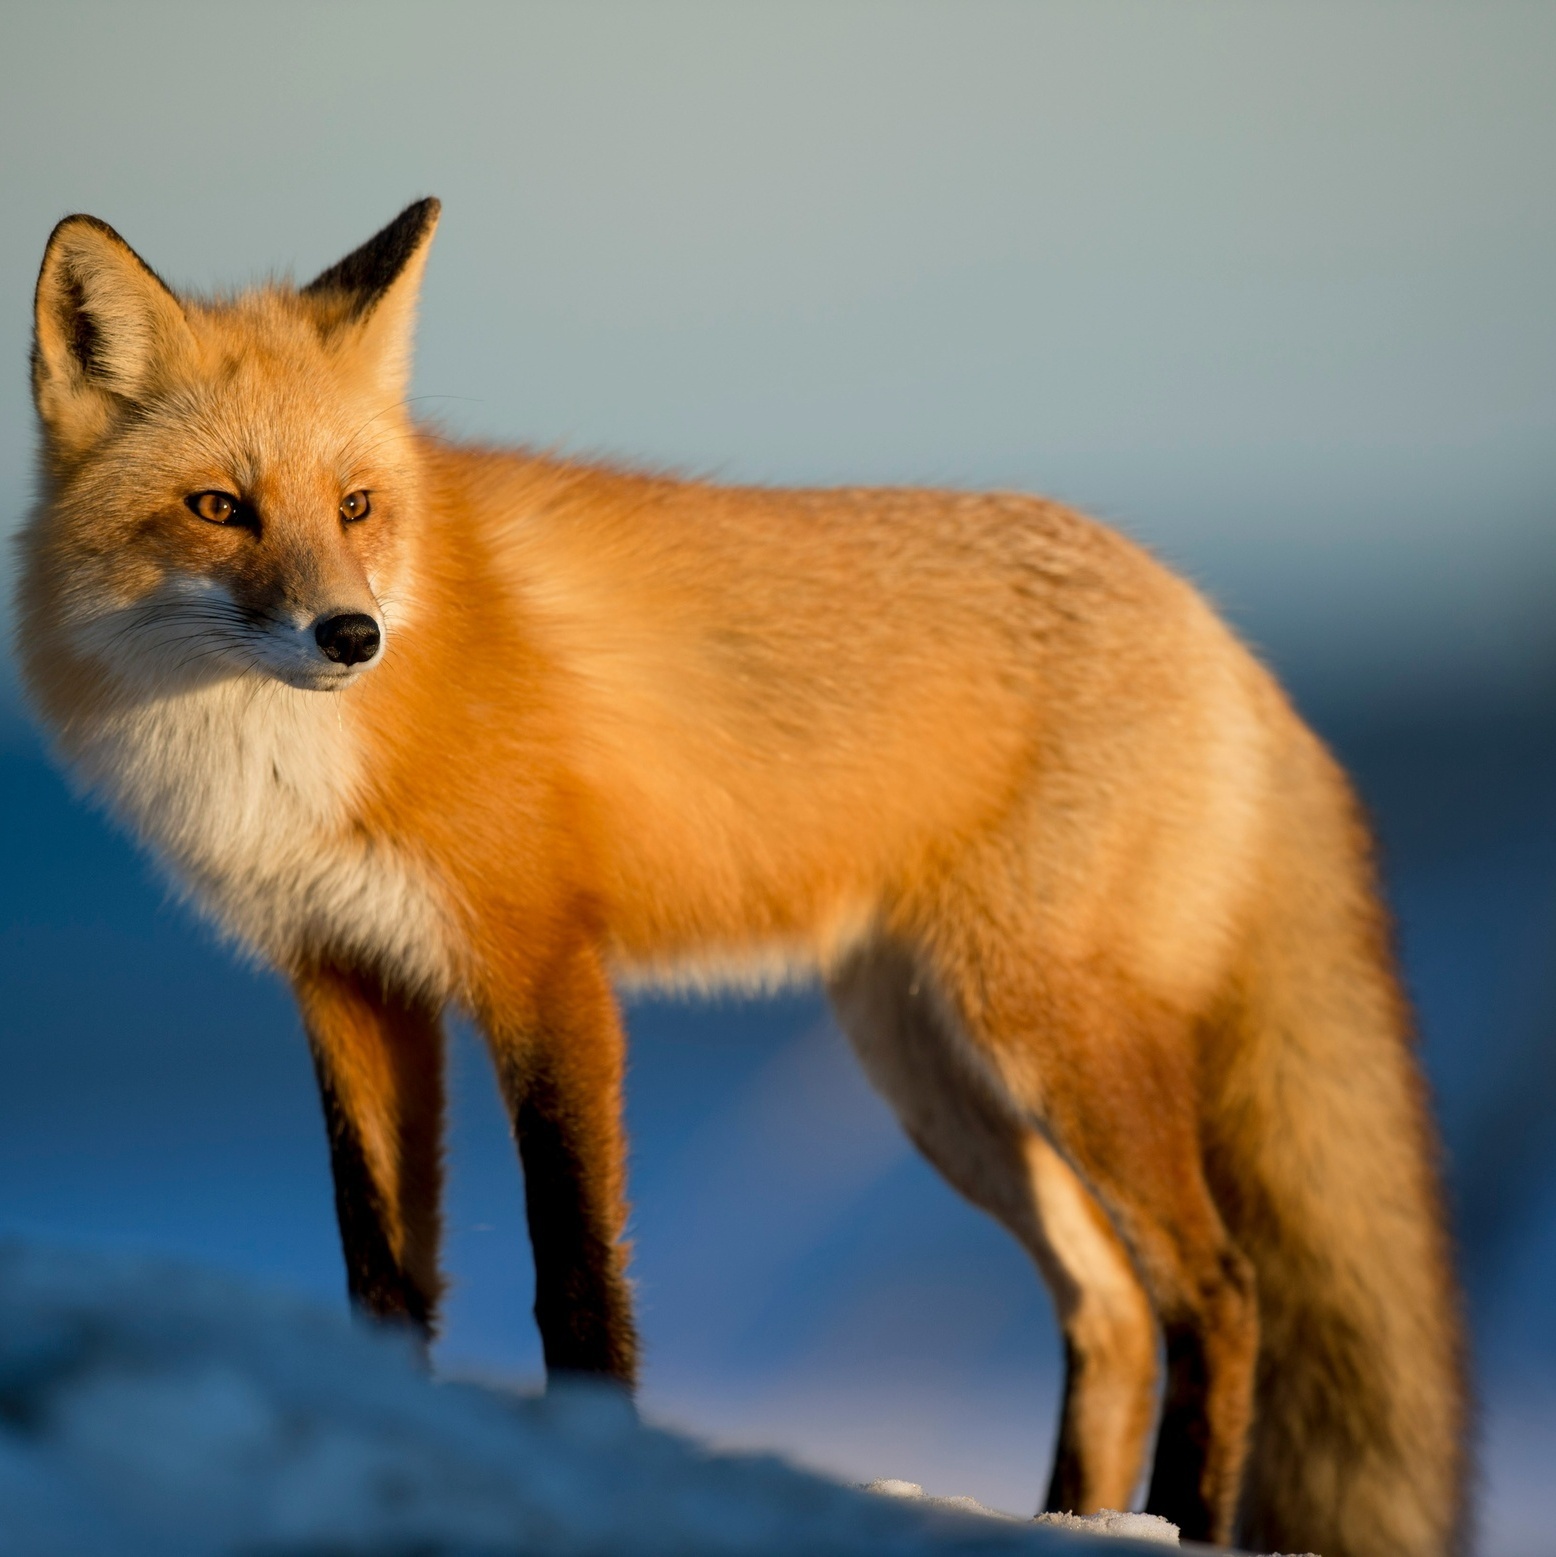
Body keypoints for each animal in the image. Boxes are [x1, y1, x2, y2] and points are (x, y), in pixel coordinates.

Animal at [15, 199, 1466, 1554]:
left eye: (357, 505)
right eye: (221, 507)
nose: (351, 635)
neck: (279, 759)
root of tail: (1219, 631)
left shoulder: (543, 965)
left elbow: (575, 1273)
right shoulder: (346, 979)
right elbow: (381, 1273)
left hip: (1049, 1035)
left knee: (1217, 1290)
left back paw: (1182, 1521)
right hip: (931, 1071)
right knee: (1108, 1305)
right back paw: (1070, 1519)